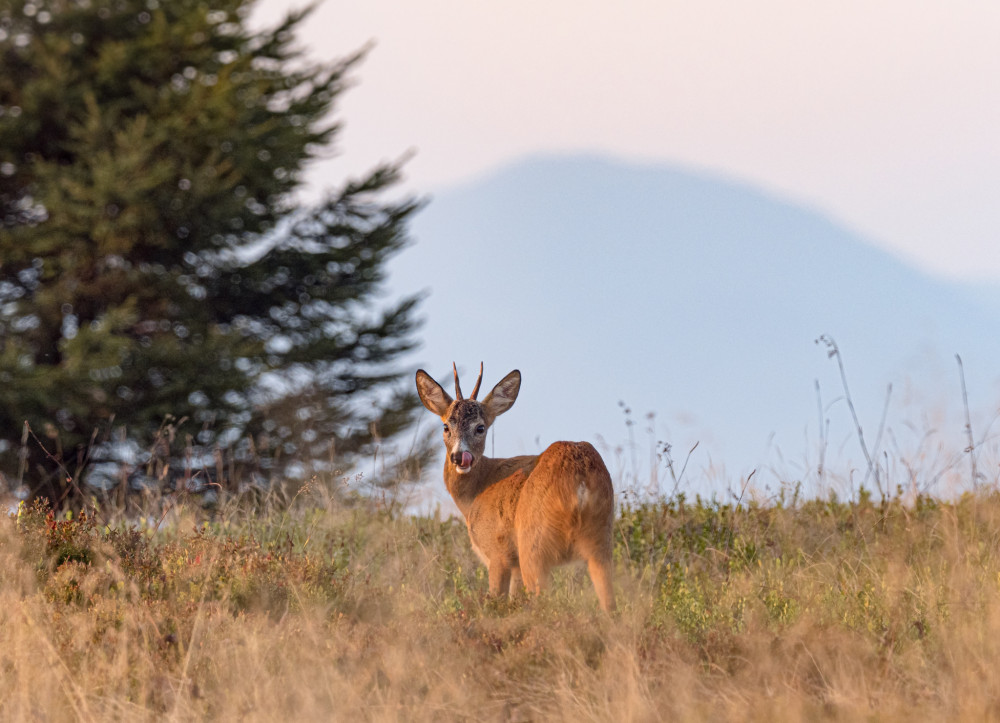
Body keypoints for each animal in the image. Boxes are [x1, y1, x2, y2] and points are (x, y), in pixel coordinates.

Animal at [414, 364, 616, 612]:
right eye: (445, 426)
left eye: (480, 428)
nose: (460, 457)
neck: (477, 491)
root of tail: (579, 481)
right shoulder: (515, 564)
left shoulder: (497, 551)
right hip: (601, 539)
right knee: (609, 602)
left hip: (533, 544)